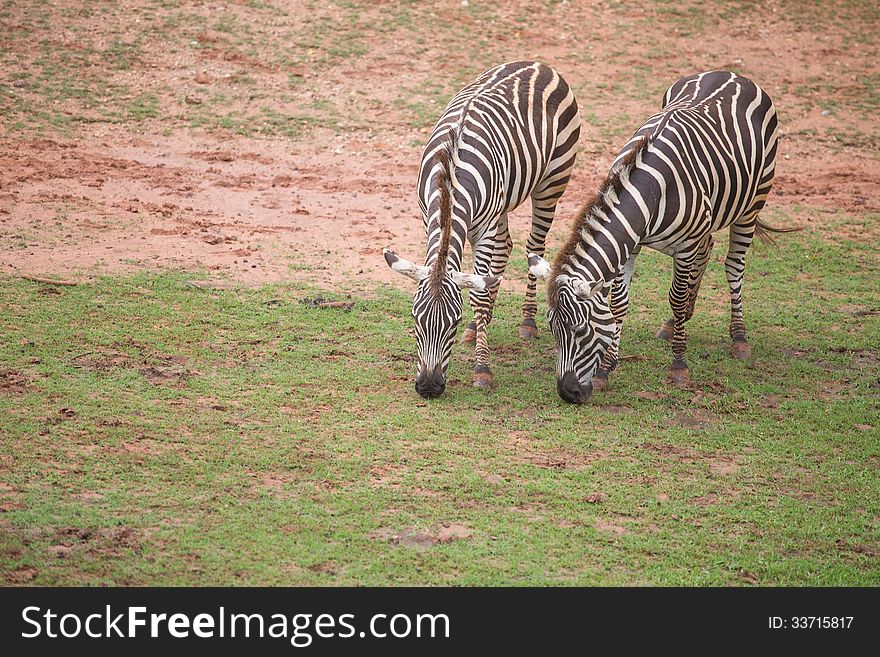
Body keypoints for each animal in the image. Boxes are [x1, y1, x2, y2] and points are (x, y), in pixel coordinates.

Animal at [384, 61, 576, 398]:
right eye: (415, 319)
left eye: (454, 322)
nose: (428, 387)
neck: (450, 179)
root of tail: (538, 63)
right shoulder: (428, 217)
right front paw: (477, 326)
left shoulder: (483, 229)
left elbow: (479, 296)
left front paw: (482, 369)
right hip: (505, 200)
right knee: (506, 247)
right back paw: (479, 326)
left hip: (552, 183)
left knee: (534, 247)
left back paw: (527, 321)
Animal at [524, 69, 796, 402]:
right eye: (553, 330)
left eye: (580, 331)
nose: (568, 393)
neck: (650, 192)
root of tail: (730, 73)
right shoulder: (630, 244)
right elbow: (619, 303)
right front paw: (606, 369)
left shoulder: (685, 245)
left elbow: (676, 298)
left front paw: (679, 367)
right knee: (708, 251)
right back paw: (673, 325)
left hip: (753, 202)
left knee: (734, 266)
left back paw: (739, 337)